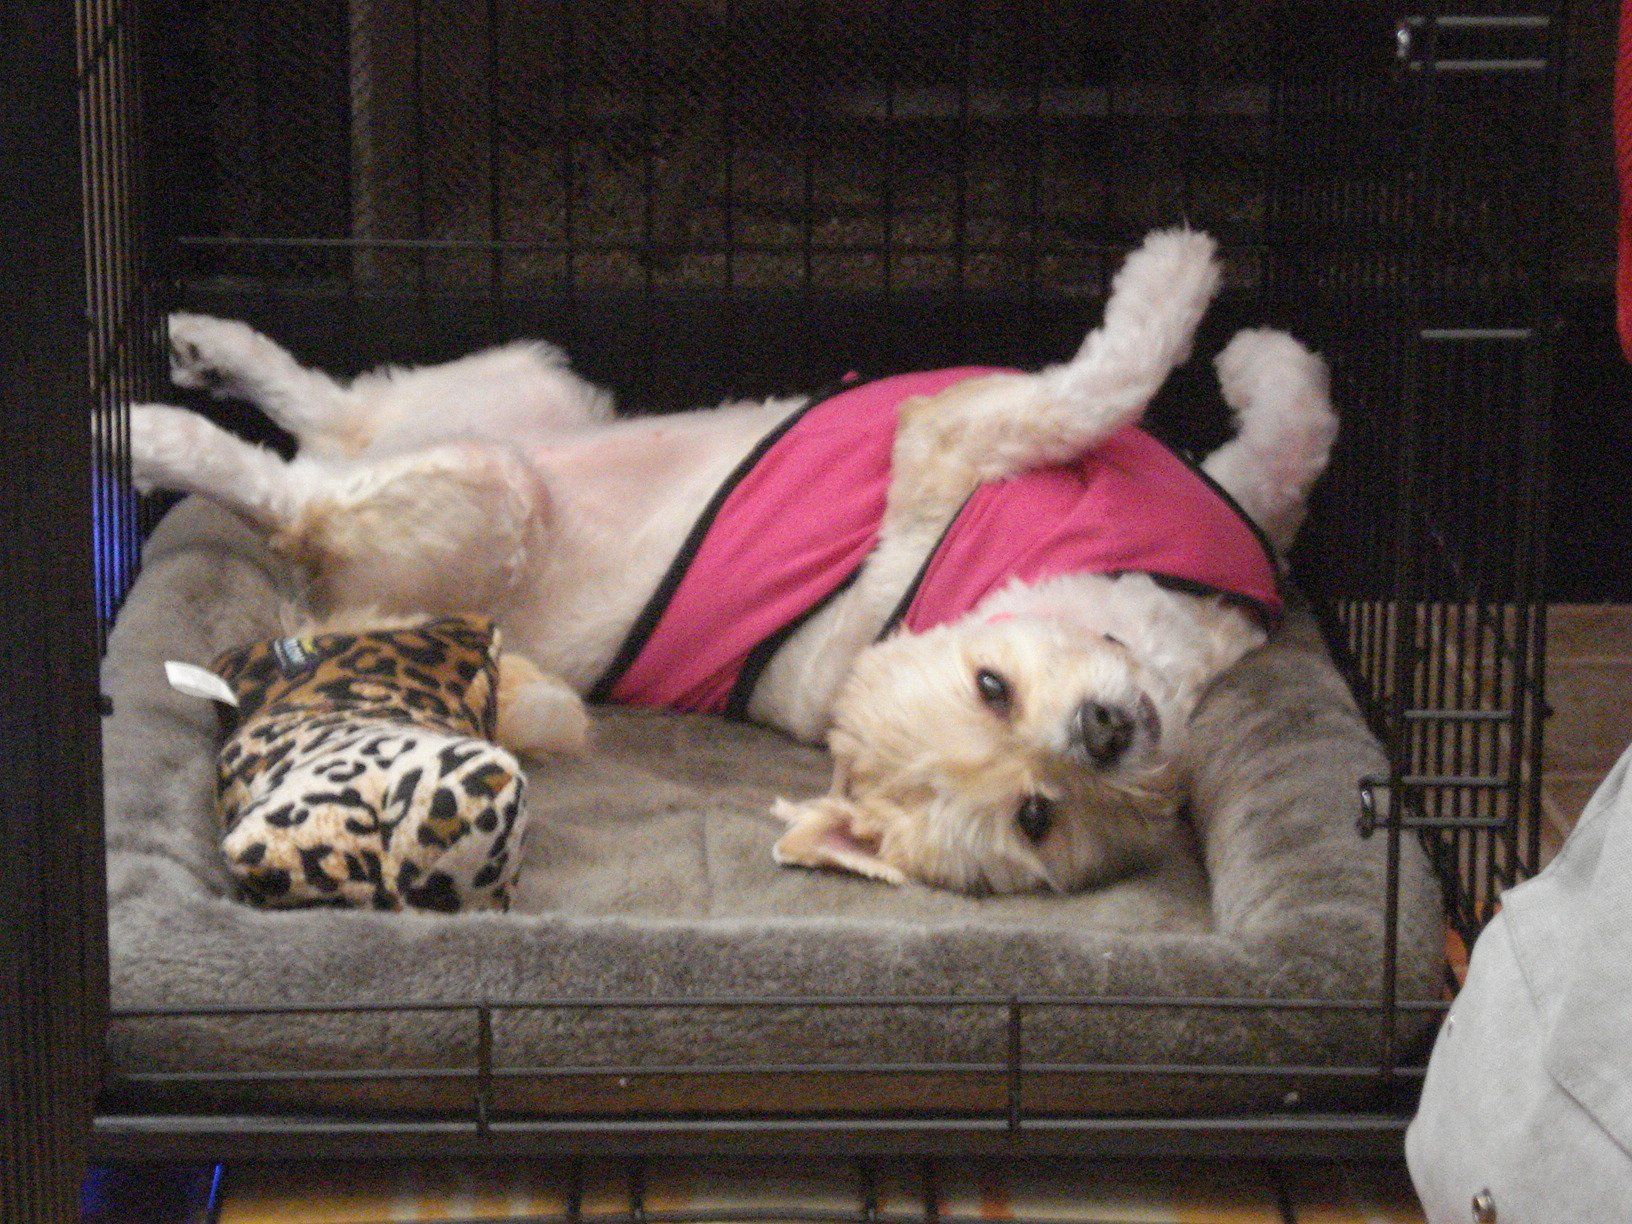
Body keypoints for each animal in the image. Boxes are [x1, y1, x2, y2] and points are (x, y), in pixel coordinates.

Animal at [124, 231, 1325, 900]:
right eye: (993, 690)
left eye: (1042, 814)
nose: (1106, 732)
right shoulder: (955, 432)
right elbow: (1107, 384)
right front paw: (1185, 281)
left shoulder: (1236, 516)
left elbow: (1291, 445)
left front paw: (1266, 361)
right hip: (486, 478)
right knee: (290, 490)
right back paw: (144, 430)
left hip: (523, 394)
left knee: (332, 412)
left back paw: (208, 345)